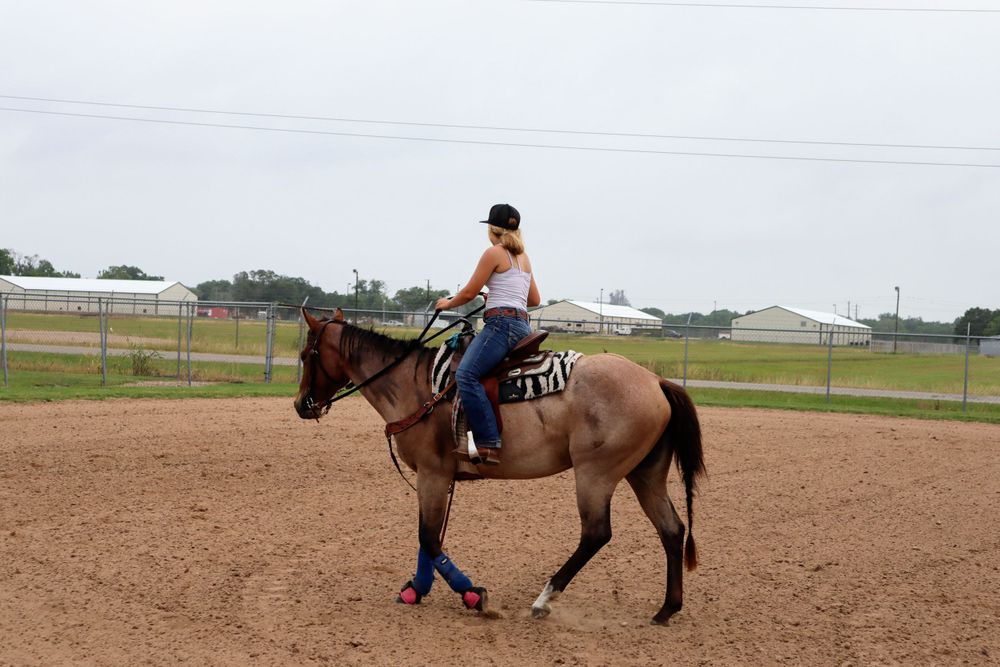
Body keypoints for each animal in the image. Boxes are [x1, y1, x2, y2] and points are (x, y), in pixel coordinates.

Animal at [293, 307, 706, 624]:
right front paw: (416, 590)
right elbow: (430, 537)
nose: (301, 405)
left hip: (596, 473)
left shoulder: (432, 473)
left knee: (596, 534)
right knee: (671, 530)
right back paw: (666, 609)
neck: (415, 385)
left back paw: (544, 599)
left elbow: (428, 537)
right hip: (645, 473)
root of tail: (657, 381)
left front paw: (473, 595)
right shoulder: (438, 477)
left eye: (305, 355)